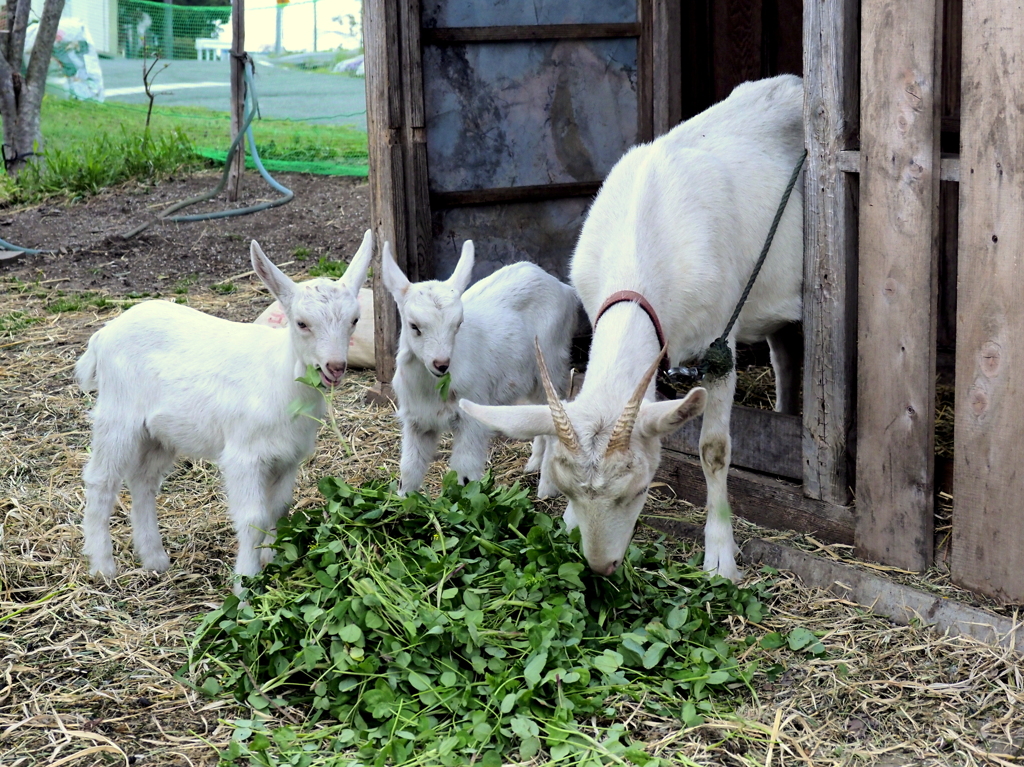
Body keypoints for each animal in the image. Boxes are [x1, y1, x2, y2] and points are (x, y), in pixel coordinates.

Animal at [75, 230, 374, 589]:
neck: (282, 377)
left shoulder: (288, 456)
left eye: (354, 320)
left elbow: (278, 509)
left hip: (160, 432)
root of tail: (103, 334)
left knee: (143, 481)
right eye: (302, 323)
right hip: (119, 415)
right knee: (101, 479)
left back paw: (155, 559)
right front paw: (246, 583)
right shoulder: (244, 456)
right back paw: (102, 565)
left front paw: (272, 559)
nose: (335, 367)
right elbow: (253, 517)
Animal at [382, 239, 581, 493]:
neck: (431, 388)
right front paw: (404, 498)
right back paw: (533, 465)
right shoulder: (417, 422)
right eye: (414, 326)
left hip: (552, 361)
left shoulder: (471, 418)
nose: (441, 364)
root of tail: (563, 289)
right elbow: (409, 467)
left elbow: (465, 469)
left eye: (458, 324)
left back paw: (546, 488)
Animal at [460, 79, 802, 581]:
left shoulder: (717, 340)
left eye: (640, 490)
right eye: (568, 491)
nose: (601, 566)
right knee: (784, 351)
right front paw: (568, 525)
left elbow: (714, 449)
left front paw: (721, 557)